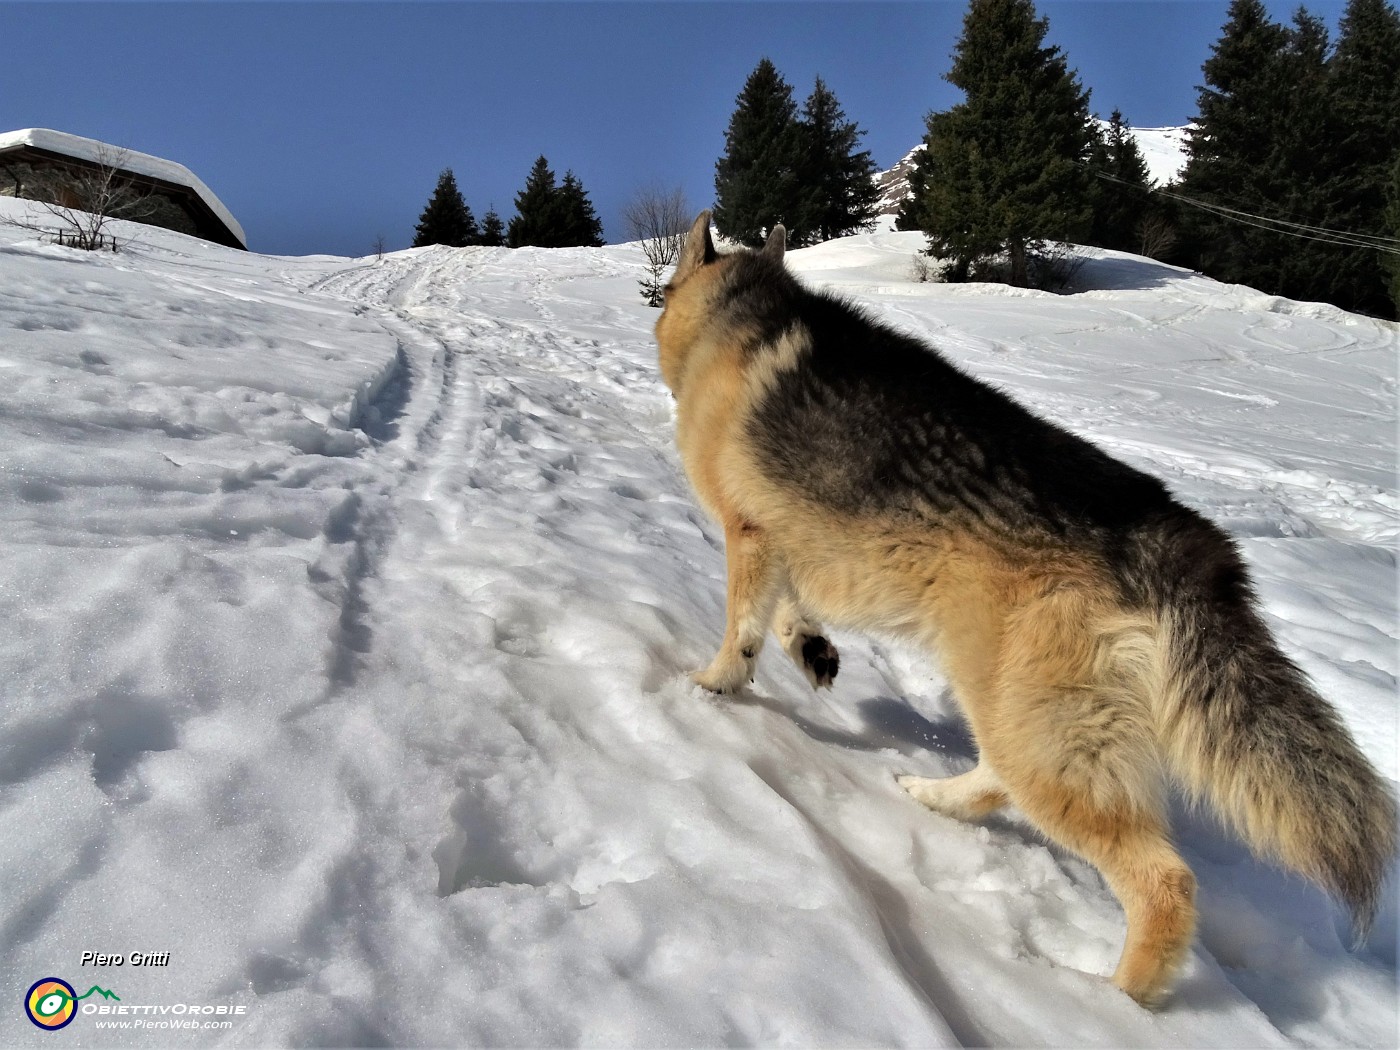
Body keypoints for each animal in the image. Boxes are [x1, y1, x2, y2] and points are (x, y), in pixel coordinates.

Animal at [658, 210, 1400, 1008]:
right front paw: (810, 651)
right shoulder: (783, 545)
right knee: (996, 784)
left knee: (1164, 884)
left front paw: (712, 686)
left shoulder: (750, 534)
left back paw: (1113, 1003)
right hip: (1020, 714)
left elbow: (741, 630)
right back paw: (929, 795)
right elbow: (786, 616)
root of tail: (1177, 539)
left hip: (1036, 728)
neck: (739, 316)